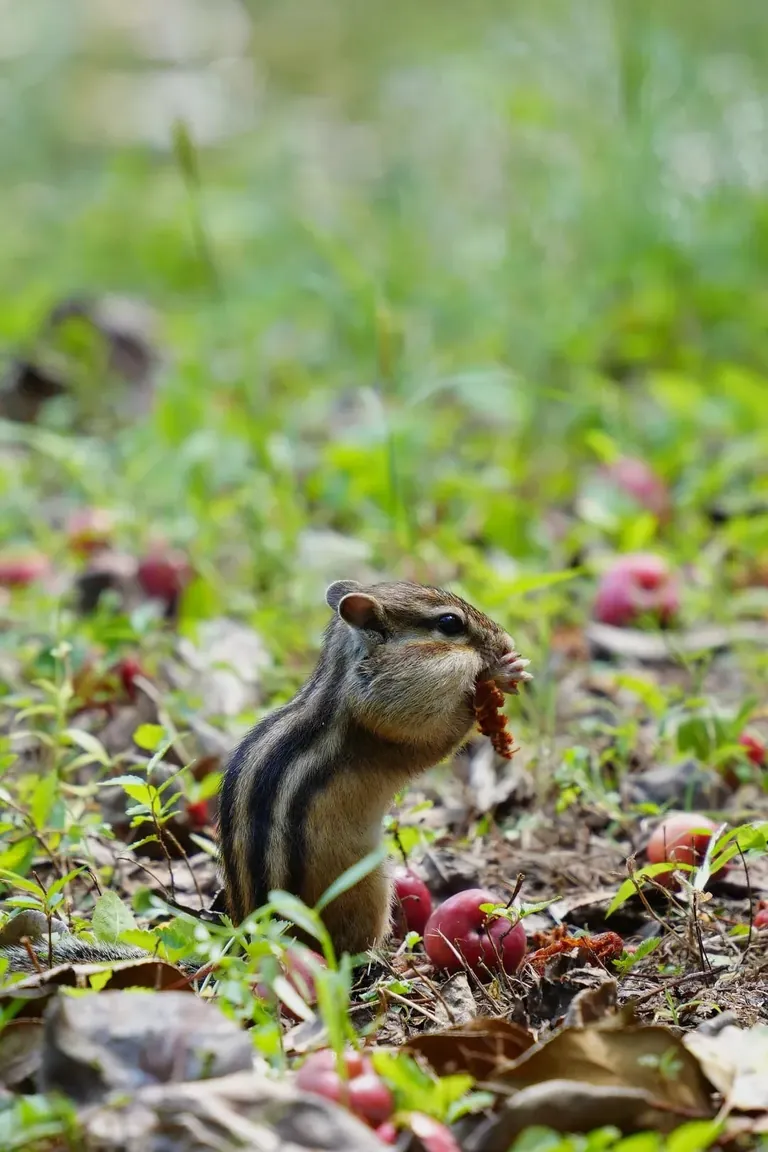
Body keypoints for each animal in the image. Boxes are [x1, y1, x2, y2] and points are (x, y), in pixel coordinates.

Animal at [0, 579, 531, 974]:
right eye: (450, 624)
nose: (506, 642)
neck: (347, 676)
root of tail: (250, 938)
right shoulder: (387, 713)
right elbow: (433, 736)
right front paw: (498, 674)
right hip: (367, 890)